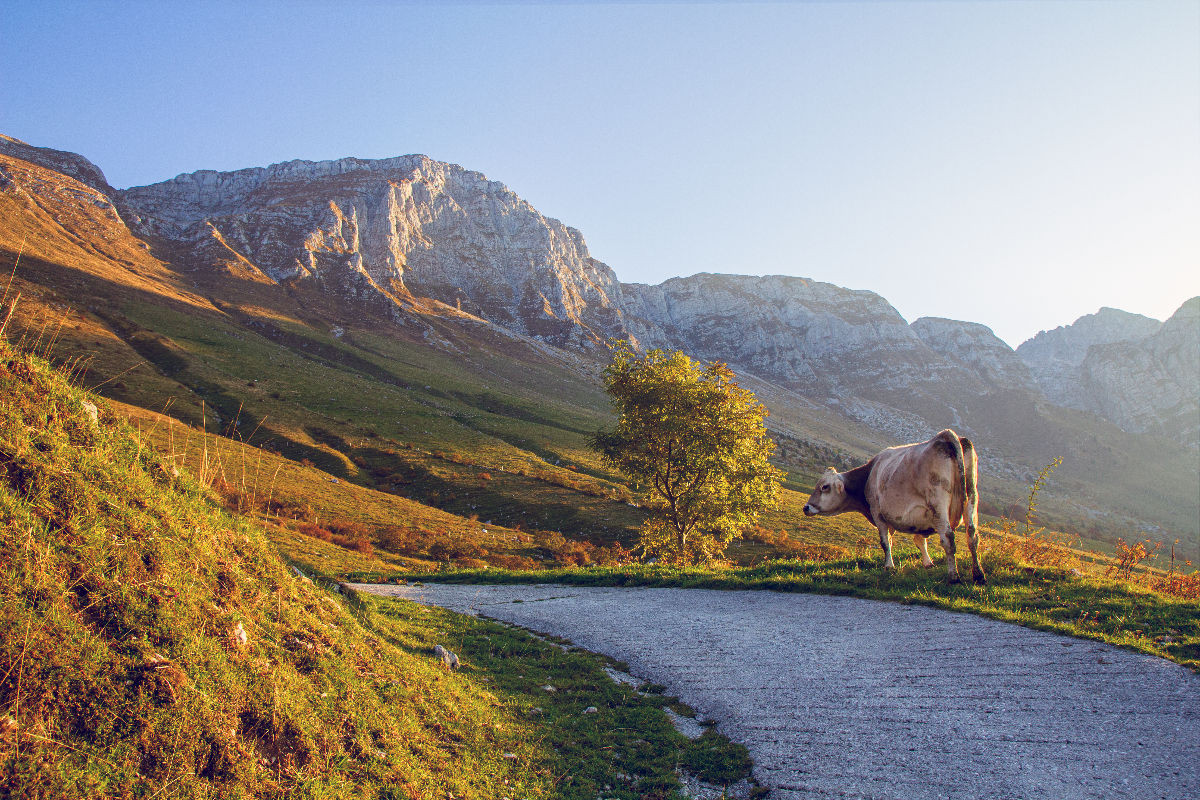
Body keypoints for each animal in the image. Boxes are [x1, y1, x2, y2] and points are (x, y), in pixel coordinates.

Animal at [806, 429, 984, 585]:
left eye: (824, 487)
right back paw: (978, 575)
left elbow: (885, 542)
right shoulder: (915, 518)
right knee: (972, 535)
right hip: (972, 496)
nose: (806, 507)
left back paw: (954, 577)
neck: (870, 474)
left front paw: (889, 566)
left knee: (948, 538)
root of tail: (946, 435)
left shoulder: (878, 513)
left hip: (938, 502)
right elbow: (918, 540)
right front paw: (927, 563)